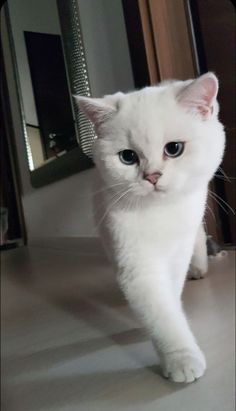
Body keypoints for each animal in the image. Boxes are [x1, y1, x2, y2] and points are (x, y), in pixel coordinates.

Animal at [75, 73, 225, 384]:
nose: (152, 176)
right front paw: (180, 357)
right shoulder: (134, 261)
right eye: (128, 157)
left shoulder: (178, 249)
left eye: (174, 149)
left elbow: (171, 290)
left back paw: (199, 268)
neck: (160, 213)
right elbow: (158, 310)